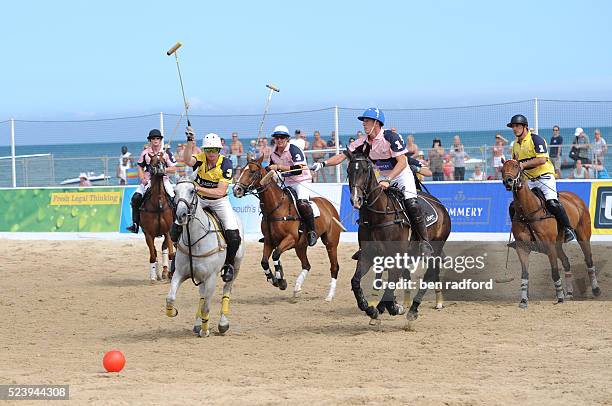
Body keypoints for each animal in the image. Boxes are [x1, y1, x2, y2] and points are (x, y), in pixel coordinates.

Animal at [139, 152, 175, 282]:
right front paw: (153, 277)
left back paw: (164, 272)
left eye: (163, 162)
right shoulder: (149, 234)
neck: (158, 204)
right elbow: (153, 255)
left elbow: (171, 254)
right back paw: (158, 274)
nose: (160, 170)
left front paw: (171, 274)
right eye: (152, 162)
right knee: (154, 251)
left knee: (163, 248)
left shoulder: (168, 231)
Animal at [233, 155, 342, 302]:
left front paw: (281, 280)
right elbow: (264, 261)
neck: (275, 208)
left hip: (330, 242)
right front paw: (274, 279)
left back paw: (329, 296)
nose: (236, 190)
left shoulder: (290, 239)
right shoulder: (269, 241)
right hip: (301, 246)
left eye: (252, 171)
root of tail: (329, 205)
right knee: (306, 265)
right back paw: (297, 288)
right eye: (241, 170)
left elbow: (276, 255)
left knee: (334, 267)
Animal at [346, 151, 452, 322]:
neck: (379, 216)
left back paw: (416, 308)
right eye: (348, 171)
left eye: (365, 170)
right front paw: (369, 307)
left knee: (429, 274)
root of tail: (439, 204)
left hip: (435, 248)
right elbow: (356, 281)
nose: (356, 199)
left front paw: (395, 307)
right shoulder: (368, 255)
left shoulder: (395, 257)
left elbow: (391, 284)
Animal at [504, 159, 600, 308]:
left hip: (583, 235)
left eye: (515, 166)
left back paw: (595, 289)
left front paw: (559, 297)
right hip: (558, 245)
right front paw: (524, 300)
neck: (528, 212)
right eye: (502, 168)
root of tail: (575, 198)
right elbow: (524, 274)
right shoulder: (522, 248)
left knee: (588, 259)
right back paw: (570, 293)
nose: (508, 181)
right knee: (566, 261)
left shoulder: (549, 246)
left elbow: (554, 272)